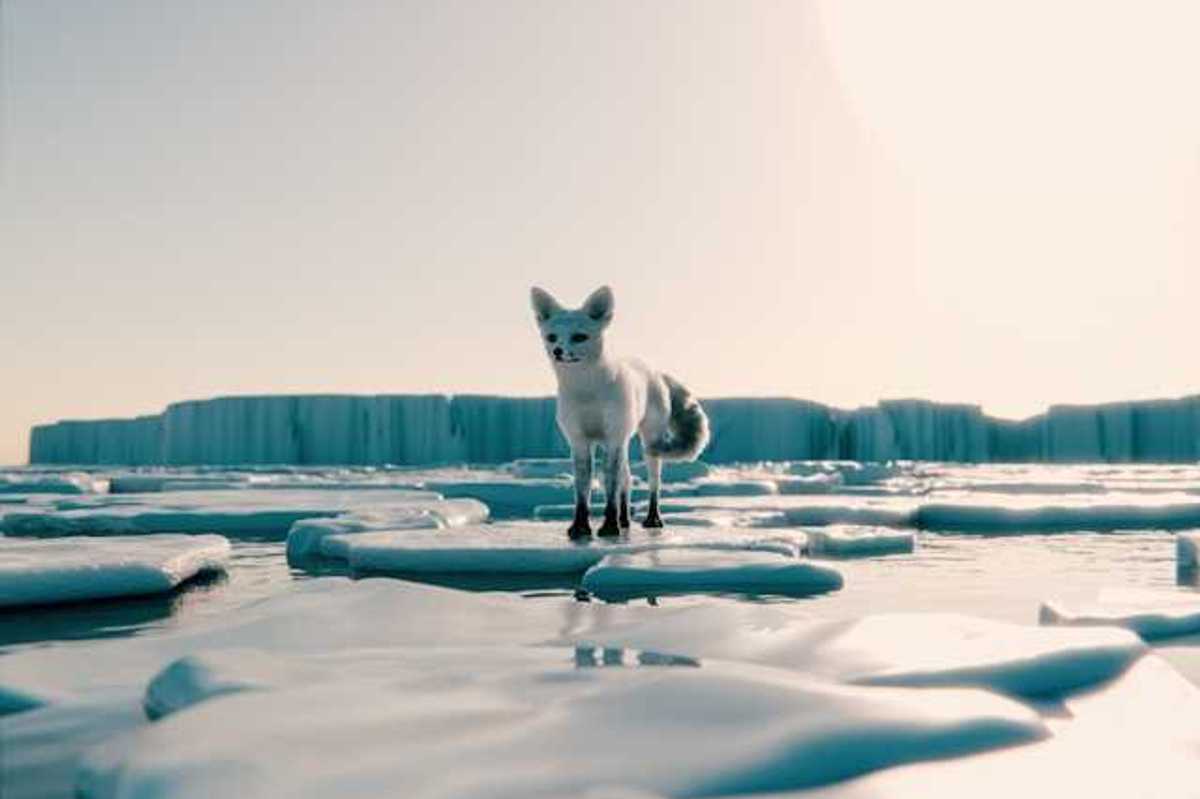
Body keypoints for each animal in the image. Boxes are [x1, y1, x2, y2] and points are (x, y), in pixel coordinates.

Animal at [530, 285, 710, 538]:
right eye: (552, 337)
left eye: (579, 337)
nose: (557, 351)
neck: (587, 392)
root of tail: (653, 370)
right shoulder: (579, 440)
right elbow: (583, 490)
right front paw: (580, 527)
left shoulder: (614, 437)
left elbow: (610, 488)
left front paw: (608, 526)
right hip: (619, 444)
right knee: (628, 481)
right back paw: (624, 520)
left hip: (648, 443)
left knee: (653, 484)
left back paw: (652, 519)